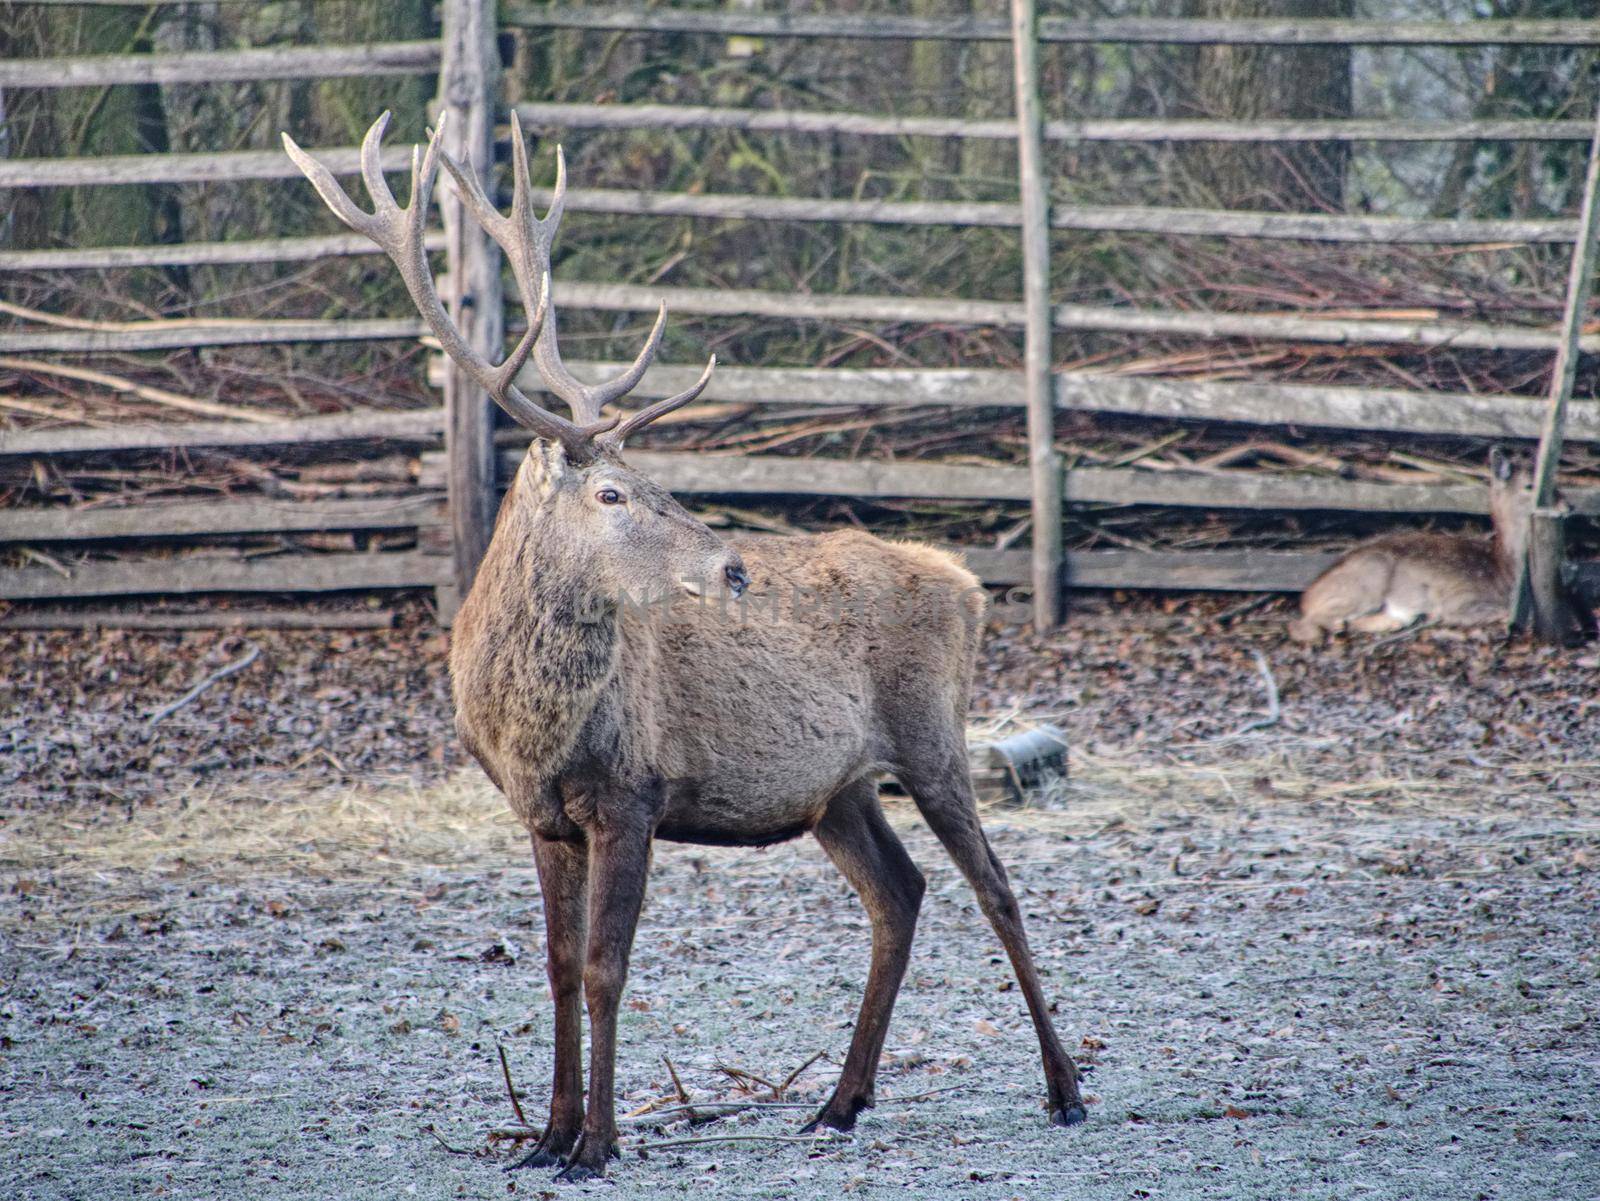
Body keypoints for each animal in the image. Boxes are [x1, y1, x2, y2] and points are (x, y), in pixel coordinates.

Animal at [284, 115, 1088, 1183]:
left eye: (653, 480)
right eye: (612, 492)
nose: (735, 565)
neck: (527, 725)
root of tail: (965, 583)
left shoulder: (633, 792)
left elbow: (605, 967)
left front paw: (597, 1143)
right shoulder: (542, 816)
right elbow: (554, 969)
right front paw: (543, 1136)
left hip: (933, 734)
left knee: (996, 887)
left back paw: (1066, 1089)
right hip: (839, 786)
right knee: (902, 892)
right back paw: (839, 1101)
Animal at [1280, 447, 1529, 639]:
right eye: (1528, 486)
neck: (1502, 571)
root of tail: (1307, 596)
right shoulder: (1459, 600)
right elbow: (1500, 612)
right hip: (1371, 574)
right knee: (1302, 623)